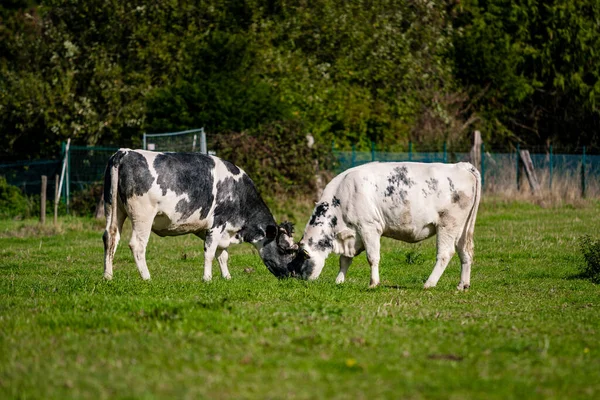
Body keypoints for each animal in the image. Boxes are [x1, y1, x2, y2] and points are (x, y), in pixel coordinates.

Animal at [288, 161, 480, 290]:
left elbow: (372, 257)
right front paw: (339, 281)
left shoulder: (368, 227)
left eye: (301, 258)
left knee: (445, 254)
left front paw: (373, 283)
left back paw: (429, 283)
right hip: (462, 229)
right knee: (465, 251)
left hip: (448, 224)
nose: (298, 279)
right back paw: (463, 285)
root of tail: (461, 166)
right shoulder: (351, 235)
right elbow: (344, 260)